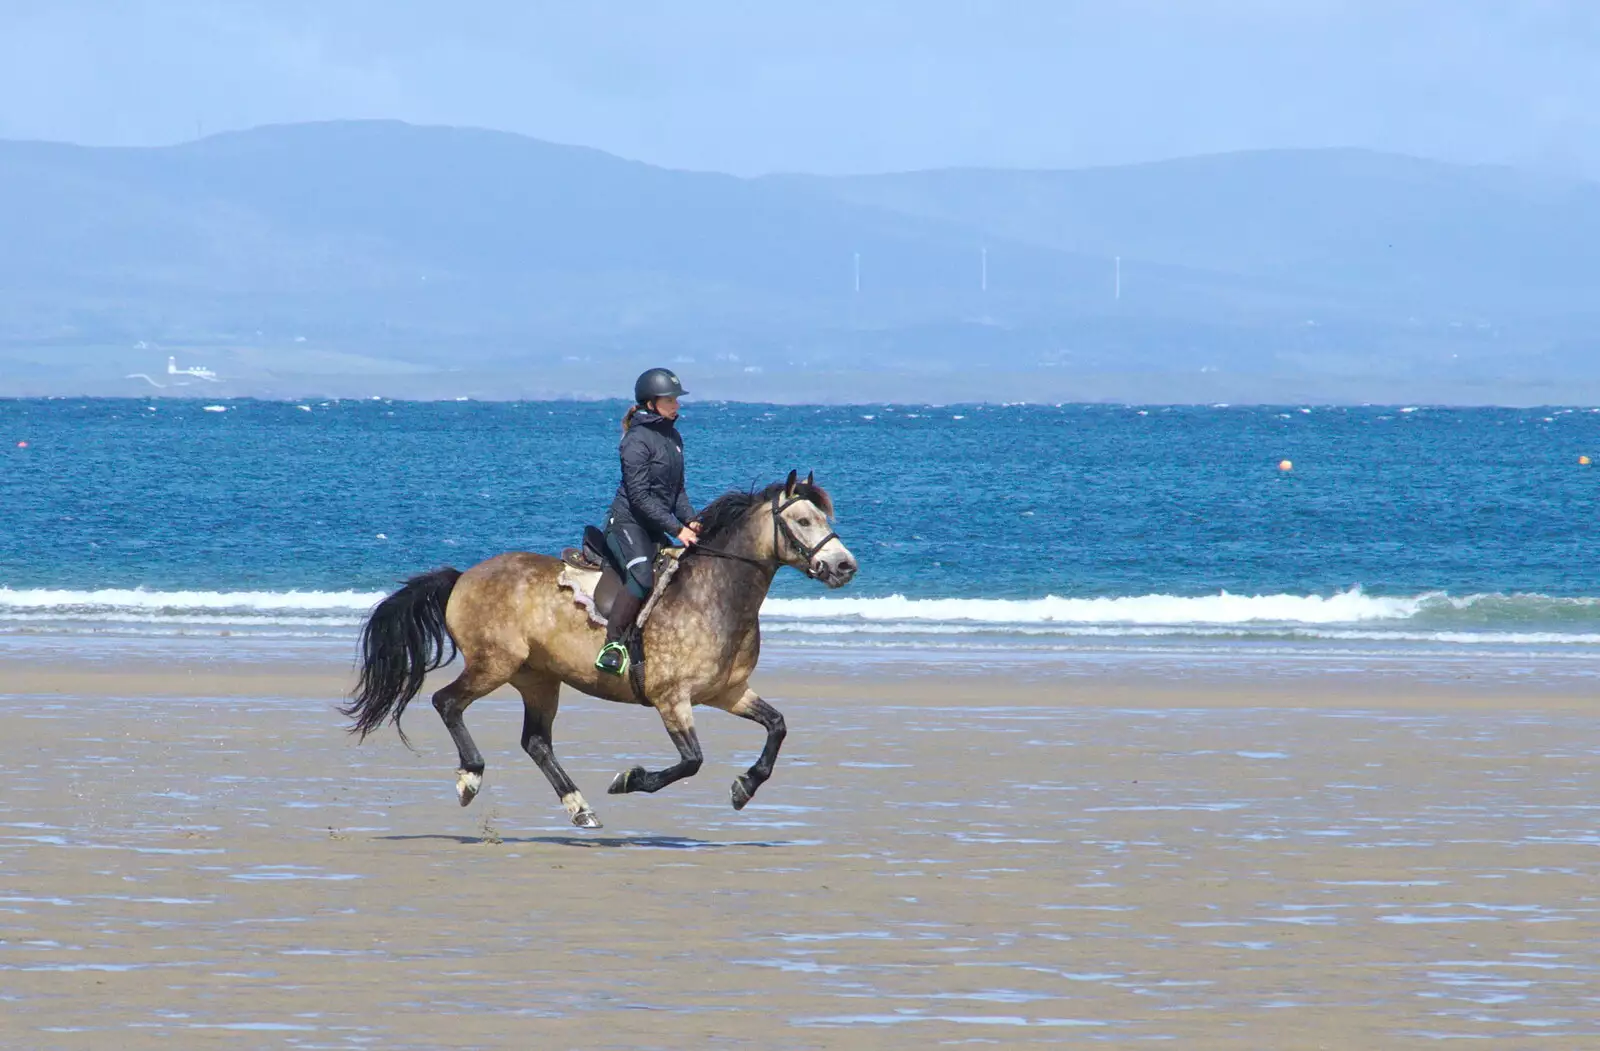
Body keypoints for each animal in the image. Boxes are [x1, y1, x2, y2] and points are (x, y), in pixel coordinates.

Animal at [339, 470, 857, 825]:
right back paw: (471, 776)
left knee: (536, 742)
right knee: (447, 702)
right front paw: (629, 780)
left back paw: (579, 808)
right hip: (494, 665)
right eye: (803, 520)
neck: (716, 595)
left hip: (539, 679)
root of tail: (464, 576)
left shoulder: (726, 693)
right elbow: (691, 761)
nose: (844, 566)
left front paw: (745, 787)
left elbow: (777, 726)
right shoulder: (672, 699)